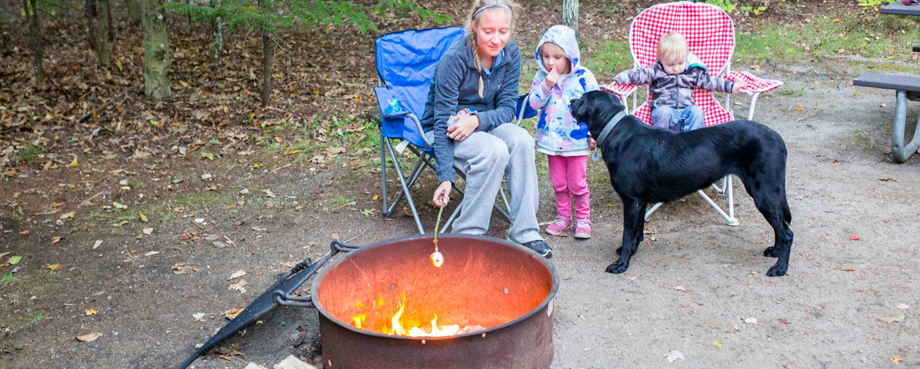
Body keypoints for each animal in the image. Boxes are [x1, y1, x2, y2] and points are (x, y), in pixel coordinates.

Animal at [572, 91, 796, 276]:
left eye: (582, 99)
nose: (571, 101)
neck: (615, 132)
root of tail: (777, 137)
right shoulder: (640, 201)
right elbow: (638, 232)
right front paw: (632, 252)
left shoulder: (631, 200)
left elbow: (628, 234)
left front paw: (621, 264)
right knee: (781, 227)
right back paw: (775, 251)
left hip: (763, 192)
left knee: (787, 233)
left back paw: (780, 268)